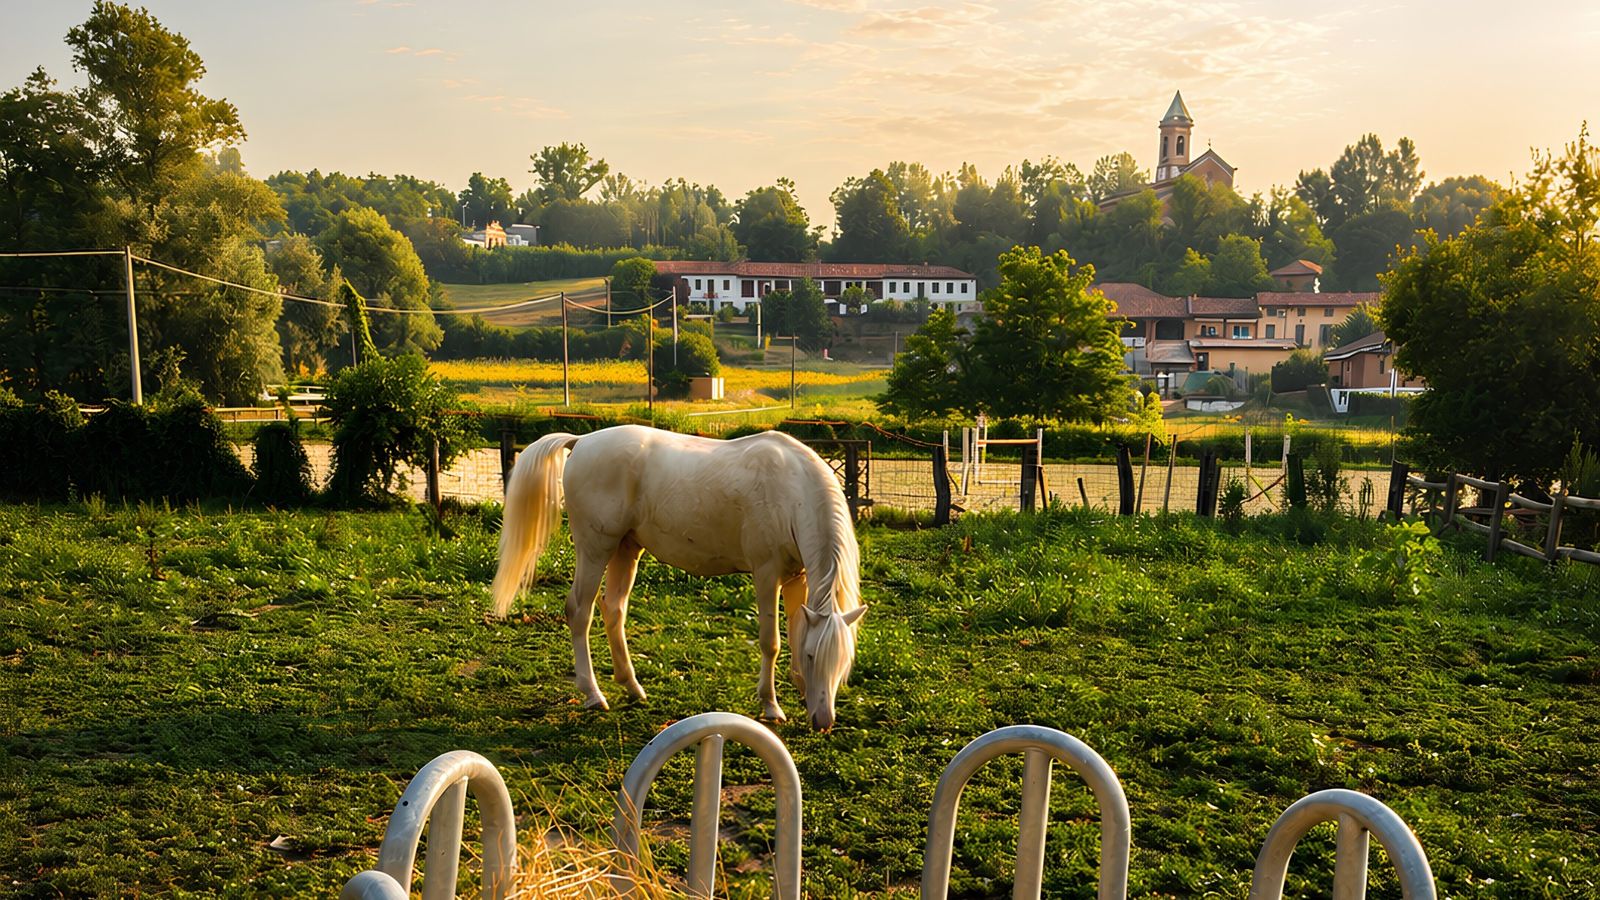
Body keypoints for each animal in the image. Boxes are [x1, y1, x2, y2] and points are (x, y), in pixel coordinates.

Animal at [490, 424, 866, 731]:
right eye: (814, 657)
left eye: (843, 660)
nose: (823, 721)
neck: (792, 492)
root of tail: (581, 441)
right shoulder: (766, 574)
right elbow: (771, 642)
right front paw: (771, 706)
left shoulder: (796, 578)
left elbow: (796, 633)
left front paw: (801, 691)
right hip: (595, 548)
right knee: (580, 611)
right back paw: (594, 694)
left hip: (627, 548)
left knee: (614, 610)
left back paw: (633, 687)